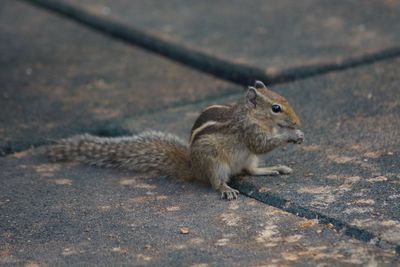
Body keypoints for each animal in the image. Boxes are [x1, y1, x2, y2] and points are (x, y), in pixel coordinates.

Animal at [48, 81, 304, 201]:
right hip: (214, 163)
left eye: (284, 99)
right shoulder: (248, 132)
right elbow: (261, 144)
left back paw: (273, 168)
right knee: (216, 181)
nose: (297, 121)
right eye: (276, 108)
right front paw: (290, 135)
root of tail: (194, 168)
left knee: (250, 170)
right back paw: (225, 188)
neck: (251, 116)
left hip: (247, 160)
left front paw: (297, 134)